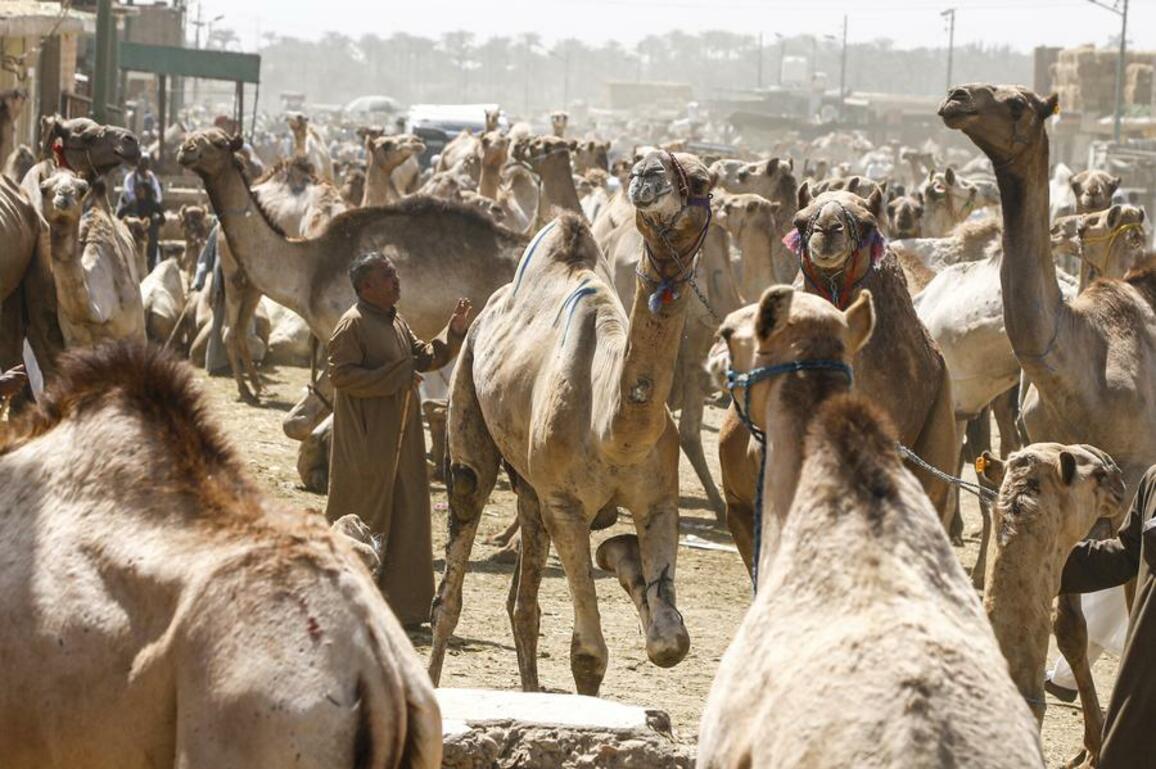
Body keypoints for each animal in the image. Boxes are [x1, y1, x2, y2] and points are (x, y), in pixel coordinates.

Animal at [429, 150, 714, 696]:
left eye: (705, 181)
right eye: (642, 165)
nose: (647, 173)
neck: (614, 429)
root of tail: (486, 311)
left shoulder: (658, 499)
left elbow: (670, 642)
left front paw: (622, 556)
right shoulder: (566, 505)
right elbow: (588, 655)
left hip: (530, 486)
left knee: (524, 603)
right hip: (469, 403)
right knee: (451, 582)